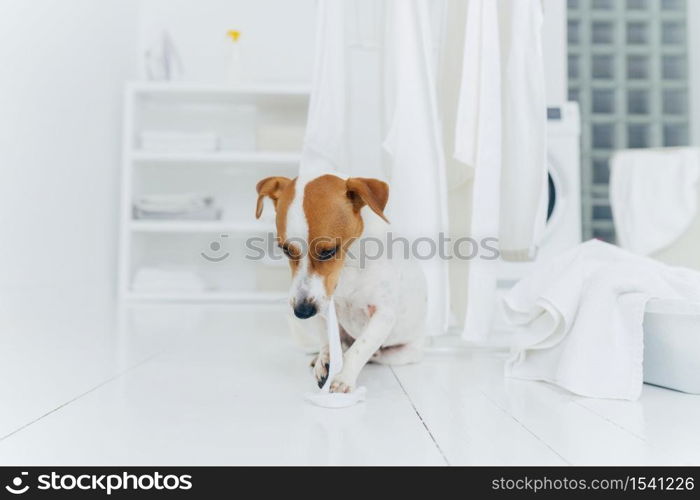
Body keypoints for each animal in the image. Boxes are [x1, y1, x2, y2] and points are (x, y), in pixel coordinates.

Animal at [258, 174, 426, 392]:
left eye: (328, 251)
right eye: (286, 249)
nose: (302, 312)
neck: (347, 269)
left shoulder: (383, 315)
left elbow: (360, 348)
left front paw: (344, 377)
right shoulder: (323, 308)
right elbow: (327, 340)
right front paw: (324, 359)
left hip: (404, 352)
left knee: (371, 353)